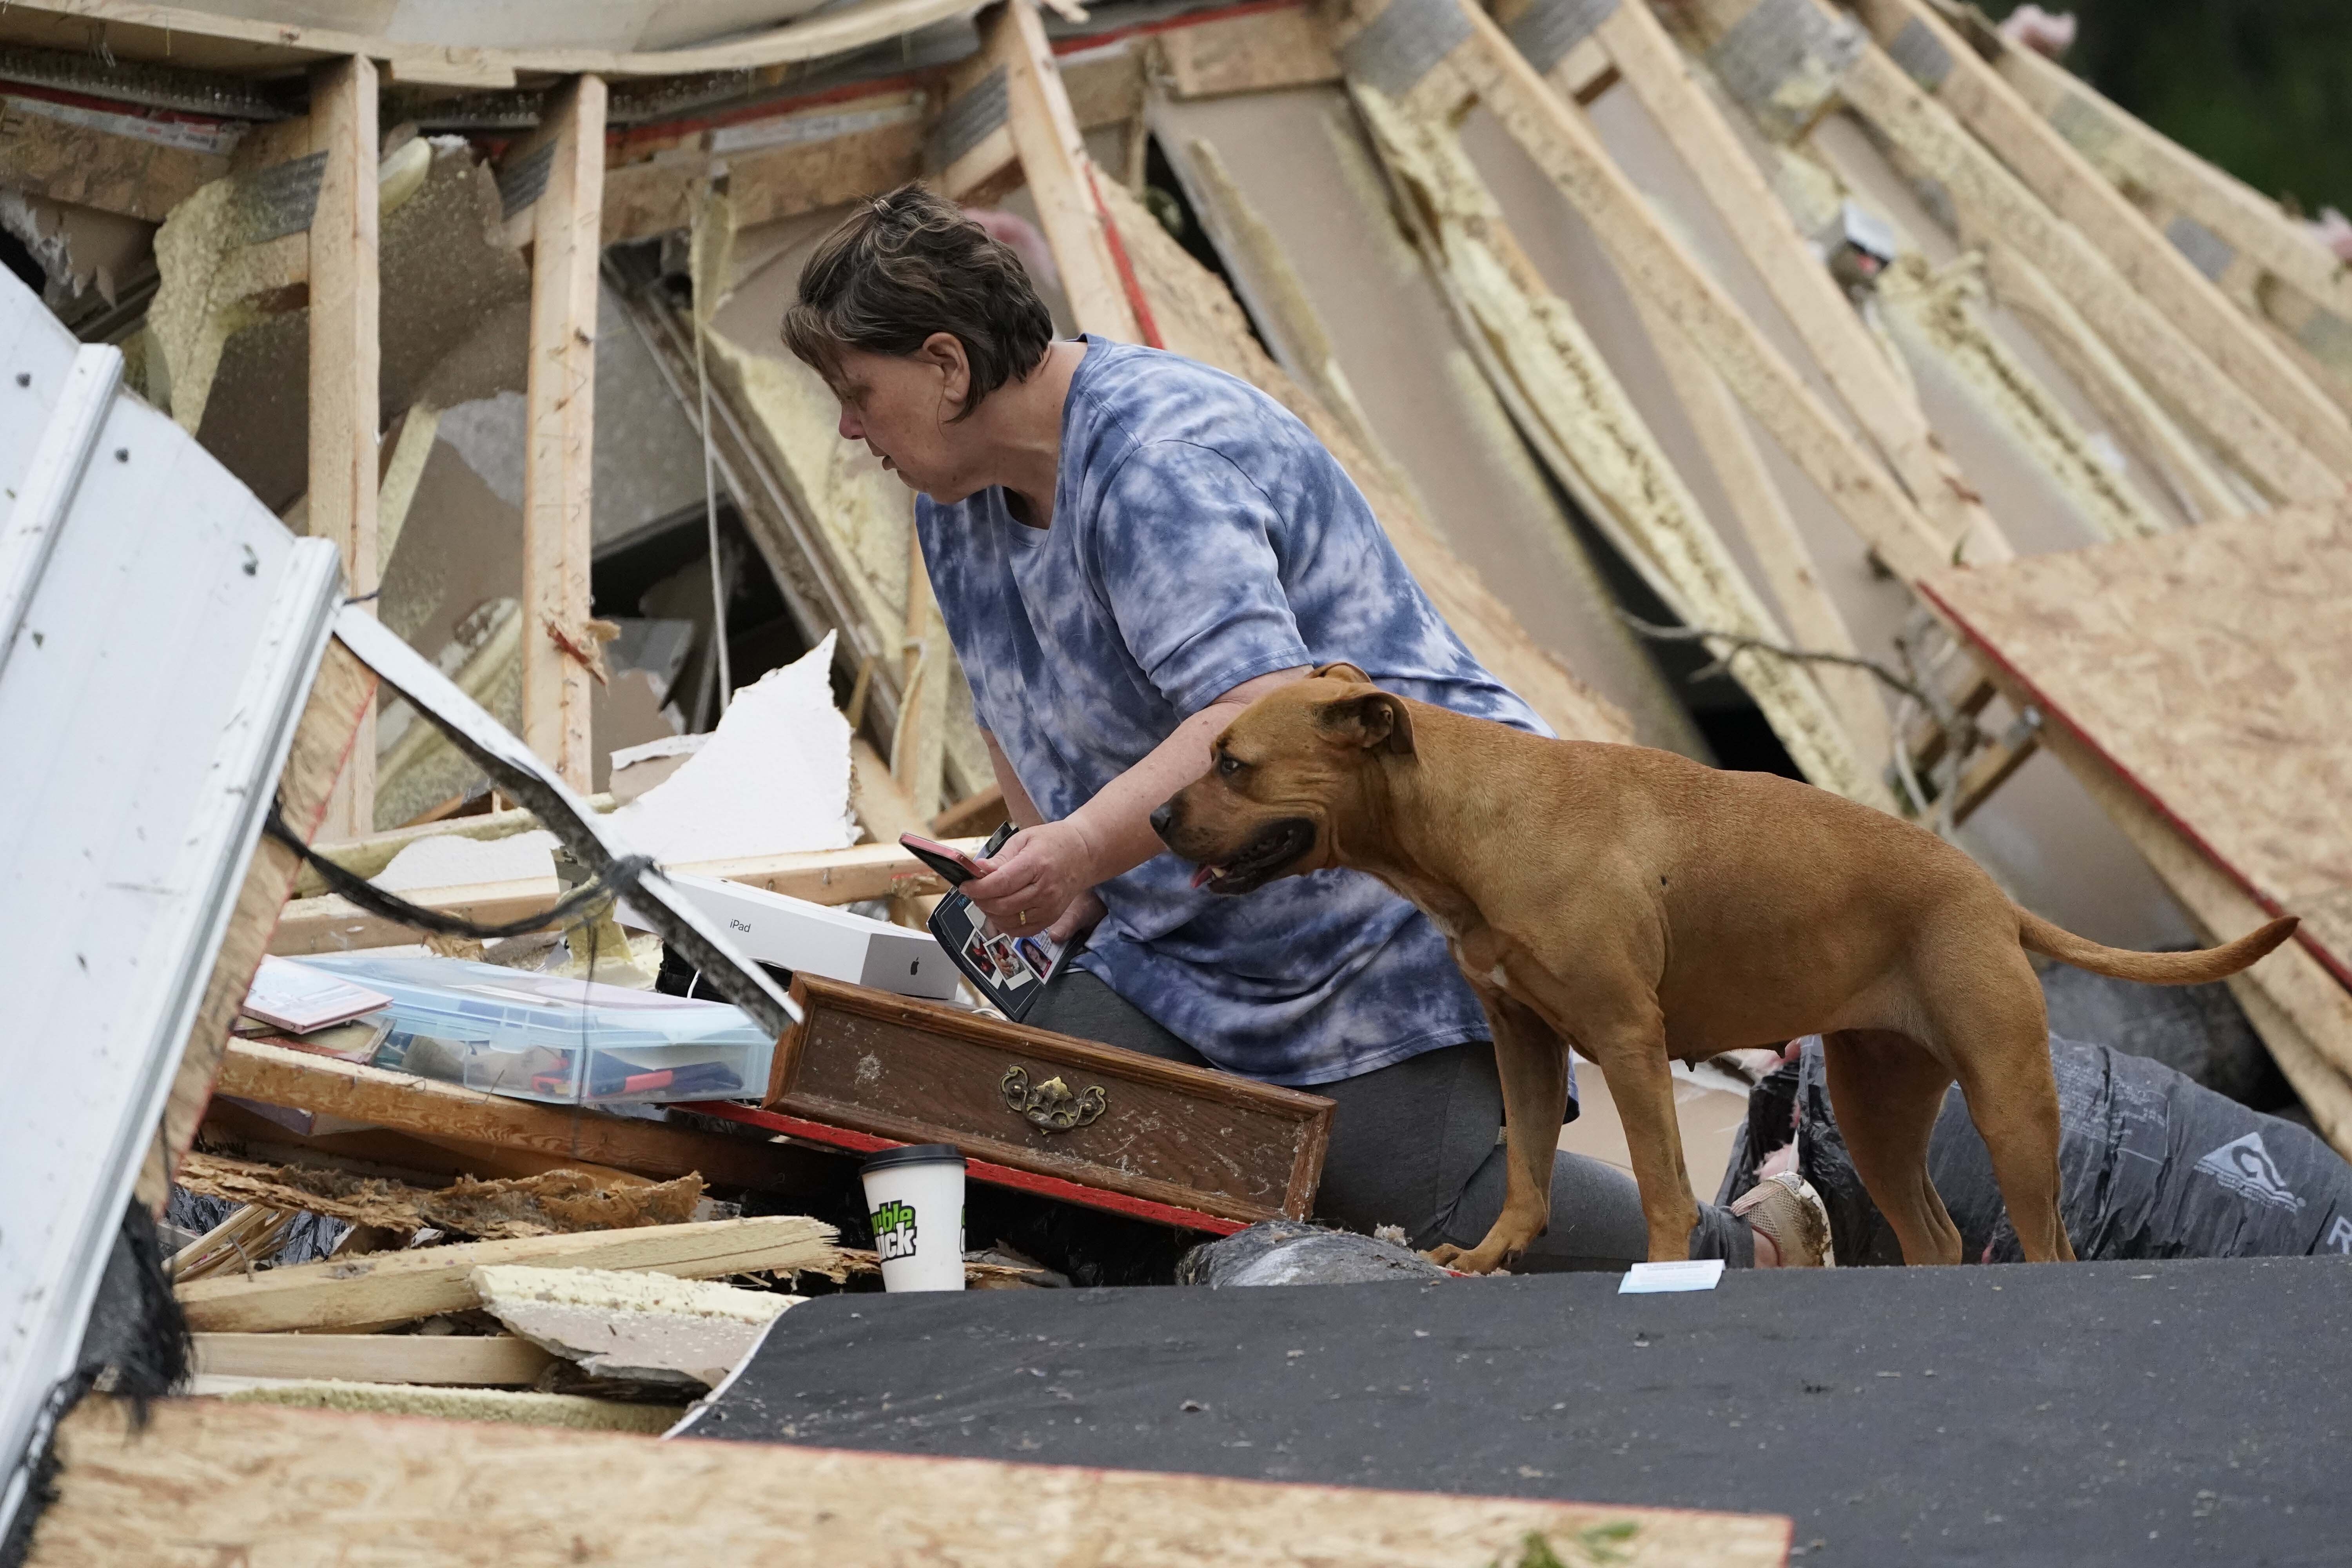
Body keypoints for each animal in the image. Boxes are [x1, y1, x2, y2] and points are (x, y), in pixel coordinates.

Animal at [1157, 668, 2296, 1279]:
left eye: (1231, 763)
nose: (1159, 815)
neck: (1471, 818)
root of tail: (1990, 894)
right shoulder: (1526, 1039)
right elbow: (1527, 1173)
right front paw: (1485, 1260)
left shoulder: (1627, 1040)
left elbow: (1662, 1186)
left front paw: (1664, 1276)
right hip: (1878, 1110)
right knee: (1933, 1234)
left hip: (2010, 1106)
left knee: (2046, 1248)